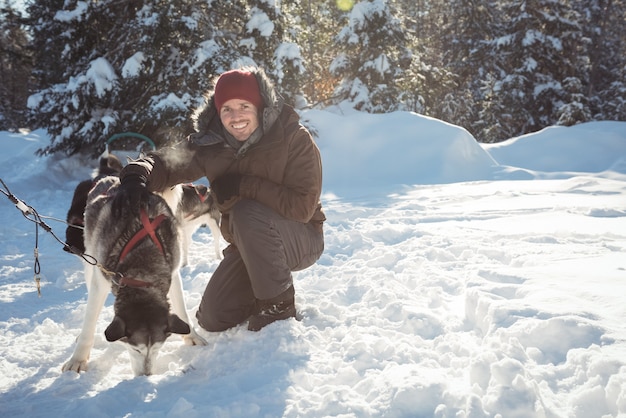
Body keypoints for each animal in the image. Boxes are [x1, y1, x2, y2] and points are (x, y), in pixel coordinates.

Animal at [65, 176, 208, 376]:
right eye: (135, 349)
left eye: (157, 348)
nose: (145, 376)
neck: (142, 276)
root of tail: (112, 178)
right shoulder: (101, 280)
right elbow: (89, 323)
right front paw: (78, 359)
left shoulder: (172, 275)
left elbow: (182, 310)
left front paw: (192, 336)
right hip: (90, 261)